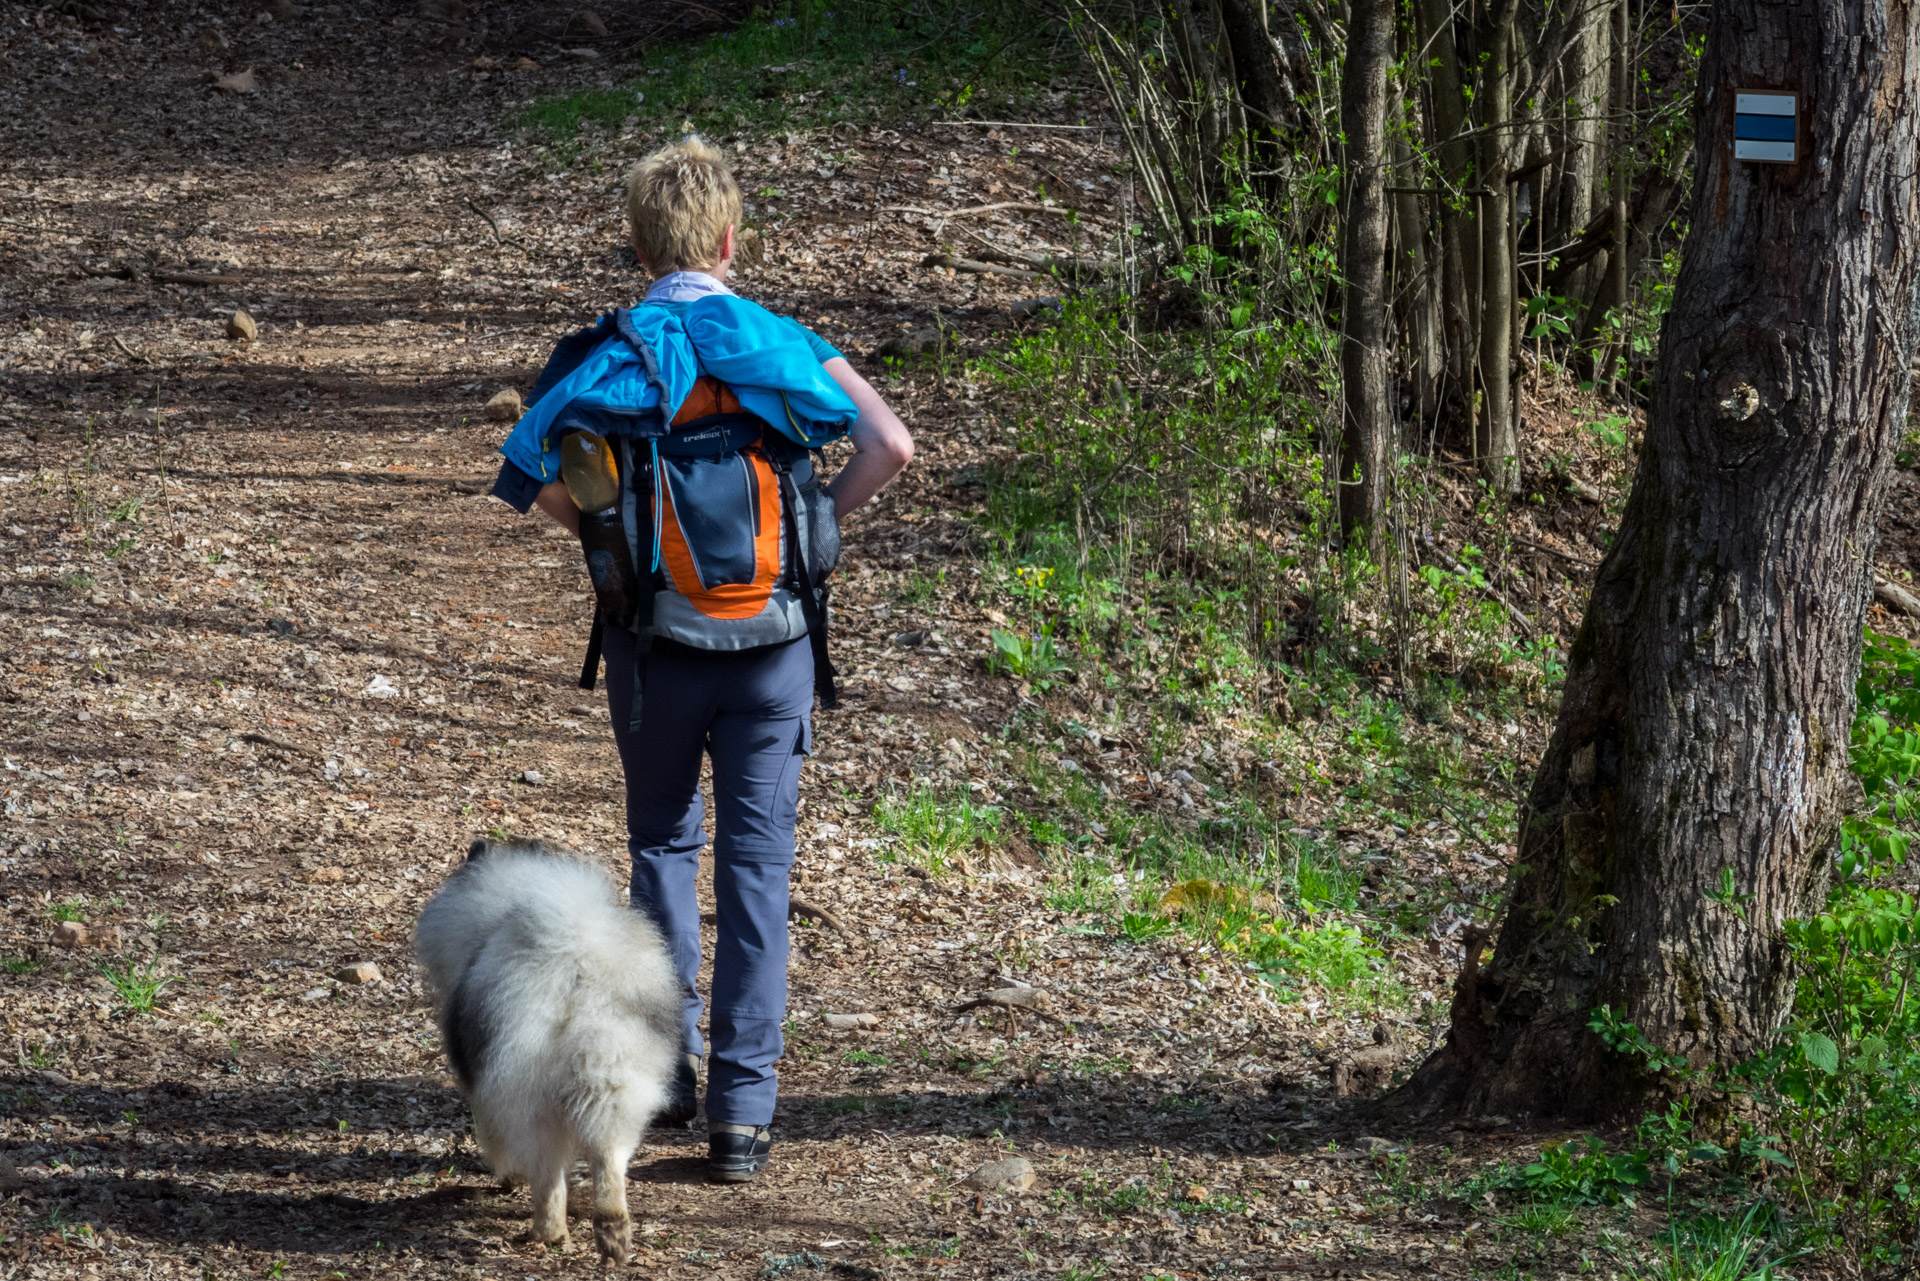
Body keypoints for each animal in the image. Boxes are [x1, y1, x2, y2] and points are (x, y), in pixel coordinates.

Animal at [410, 841, 675, 1259]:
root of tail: (576, 966)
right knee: (608, 1158)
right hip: (618, 1084)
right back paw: (612, 1228)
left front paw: (508, 1179)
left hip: (531, 1099)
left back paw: (547, 1233)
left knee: (548, 1175)